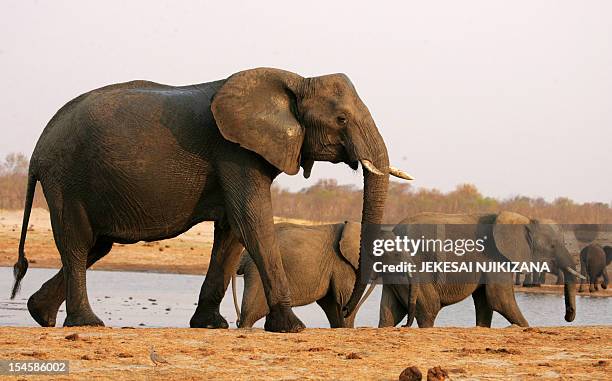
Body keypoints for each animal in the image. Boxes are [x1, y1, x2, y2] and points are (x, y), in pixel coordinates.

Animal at [231, 221, 372, 328]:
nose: (345, 311)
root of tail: (244, 255)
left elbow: (330, 304)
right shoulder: (342, 264)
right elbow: (343, 298)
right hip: (257, 271)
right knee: (250, 313)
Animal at [378, 211, 584, 326]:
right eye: (553, 246)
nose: (568, 316)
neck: (525, 218)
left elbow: (485, 302)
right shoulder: (494, 257)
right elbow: (500, 299)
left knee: (389, 314)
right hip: (416, 269)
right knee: (429, 309)